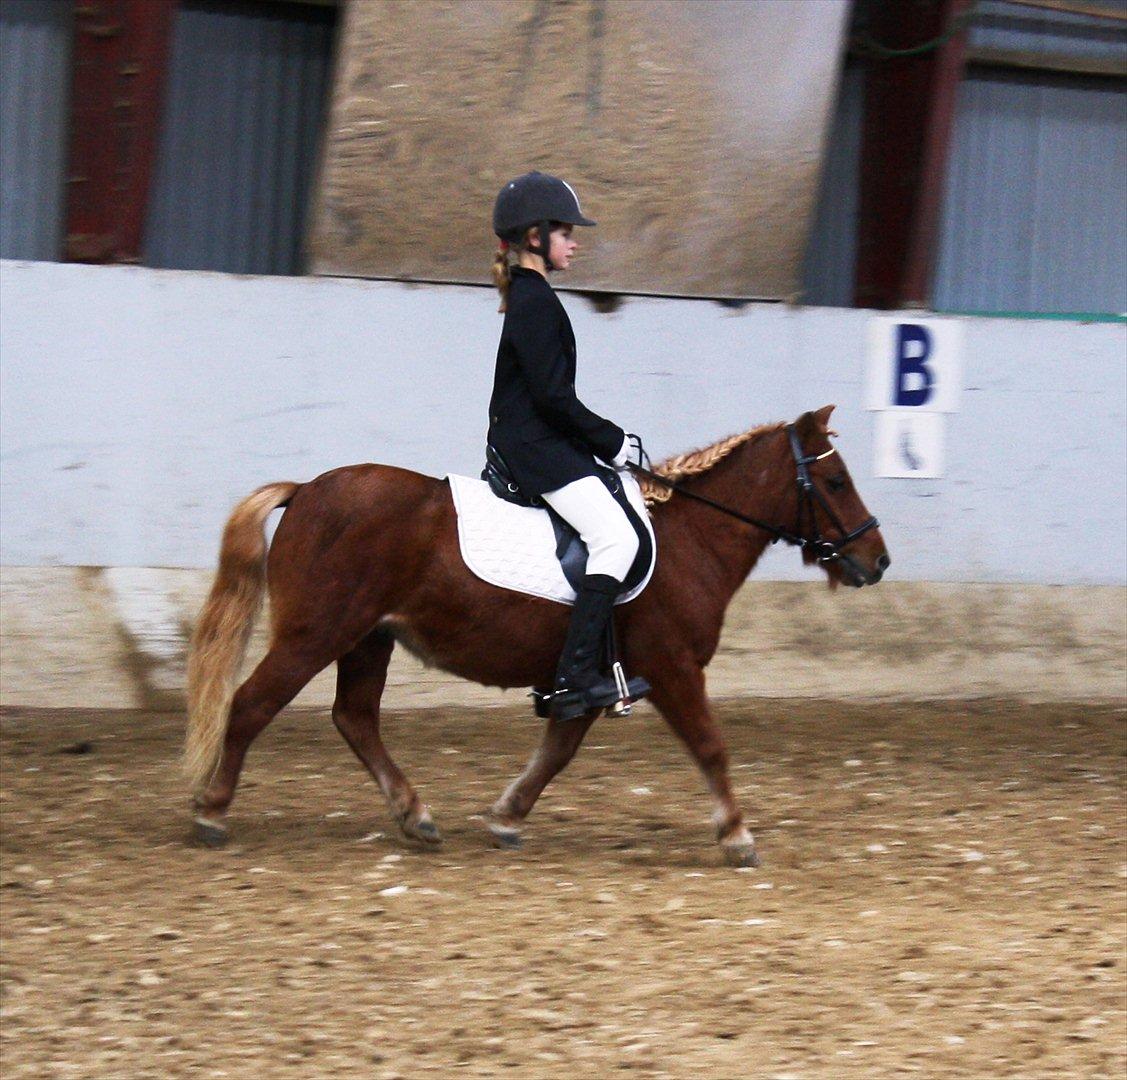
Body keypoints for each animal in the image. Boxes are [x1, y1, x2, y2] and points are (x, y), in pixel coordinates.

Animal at [184, 405, 888, 870]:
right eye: (835, 483)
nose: (876, 561)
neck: (692, 539)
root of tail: (305, 490)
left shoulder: (590, 677)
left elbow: (557, 752)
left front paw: (506, 818)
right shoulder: (674, 666)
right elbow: (711, 746)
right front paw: (737, 834)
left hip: (367, 638)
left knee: (355, 718)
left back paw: (415, 815)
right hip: (316, 634)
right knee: (251, 705)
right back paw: (212, 811)